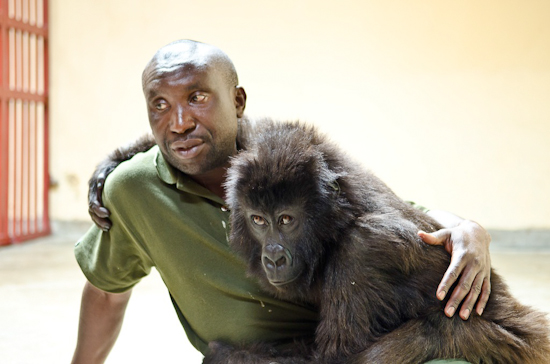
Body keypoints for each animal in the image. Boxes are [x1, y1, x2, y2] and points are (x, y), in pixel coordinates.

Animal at [204, 120, 550, 364]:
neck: (338, 221)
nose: (273, 258)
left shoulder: (362, 249)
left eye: (286, 220)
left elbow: (340, 361)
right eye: (258, 221)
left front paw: (221, 354)